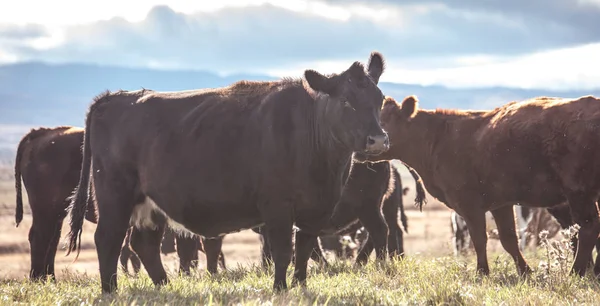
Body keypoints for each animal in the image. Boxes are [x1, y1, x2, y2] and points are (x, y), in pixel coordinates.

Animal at [64, 51, 390, 292]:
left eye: (380, 100)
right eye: (346, 101)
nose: (377, 140)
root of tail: (115, 96)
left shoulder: (315, 209)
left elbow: (305, 249)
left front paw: (300, 286)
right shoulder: (277, 206)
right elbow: (284, 250)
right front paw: (281, 289)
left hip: (149, 205)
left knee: (144, 244)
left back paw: (164, 287)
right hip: (114, 195)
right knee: (108, 239)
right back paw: (110, 291)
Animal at [360, 94, 600, 278]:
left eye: (383, 121)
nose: (365, 142)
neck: (439, 139)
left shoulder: (470, 205)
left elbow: (479, 239)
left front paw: (482, 272)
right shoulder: (501, 203)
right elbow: (508, 239)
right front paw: (525, 271)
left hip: (578, 192)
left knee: (589, 228)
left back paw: (576, 272)